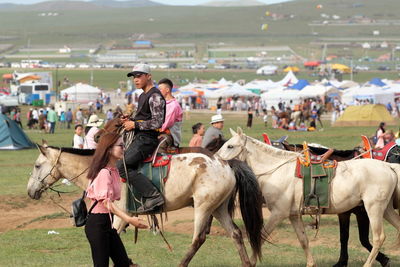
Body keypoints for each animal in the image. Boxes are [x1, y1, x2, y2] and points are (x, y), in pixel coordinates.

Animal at [27, 141, 266, 266]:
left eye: (38, 166)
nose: (30, 191)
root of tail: (225, 163)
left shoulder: (119, 216)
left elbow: (112, 239)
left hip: (204, 207)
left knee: (198, 238)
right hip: (218, 208)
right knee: (236, 234)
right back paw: (247, 263)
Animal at [217, 129, 400, 266]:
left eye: (230, 146)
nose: (217, 160)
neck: (278, 171)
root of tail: (388, 166)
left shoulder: (278, 214)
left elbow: (261, 236)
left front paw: (251, 262)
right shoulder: (293, 215)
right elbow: (303, 240)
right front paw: (311, 263)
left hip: (374, 208)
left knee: (378, 237)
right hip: (386, 209)